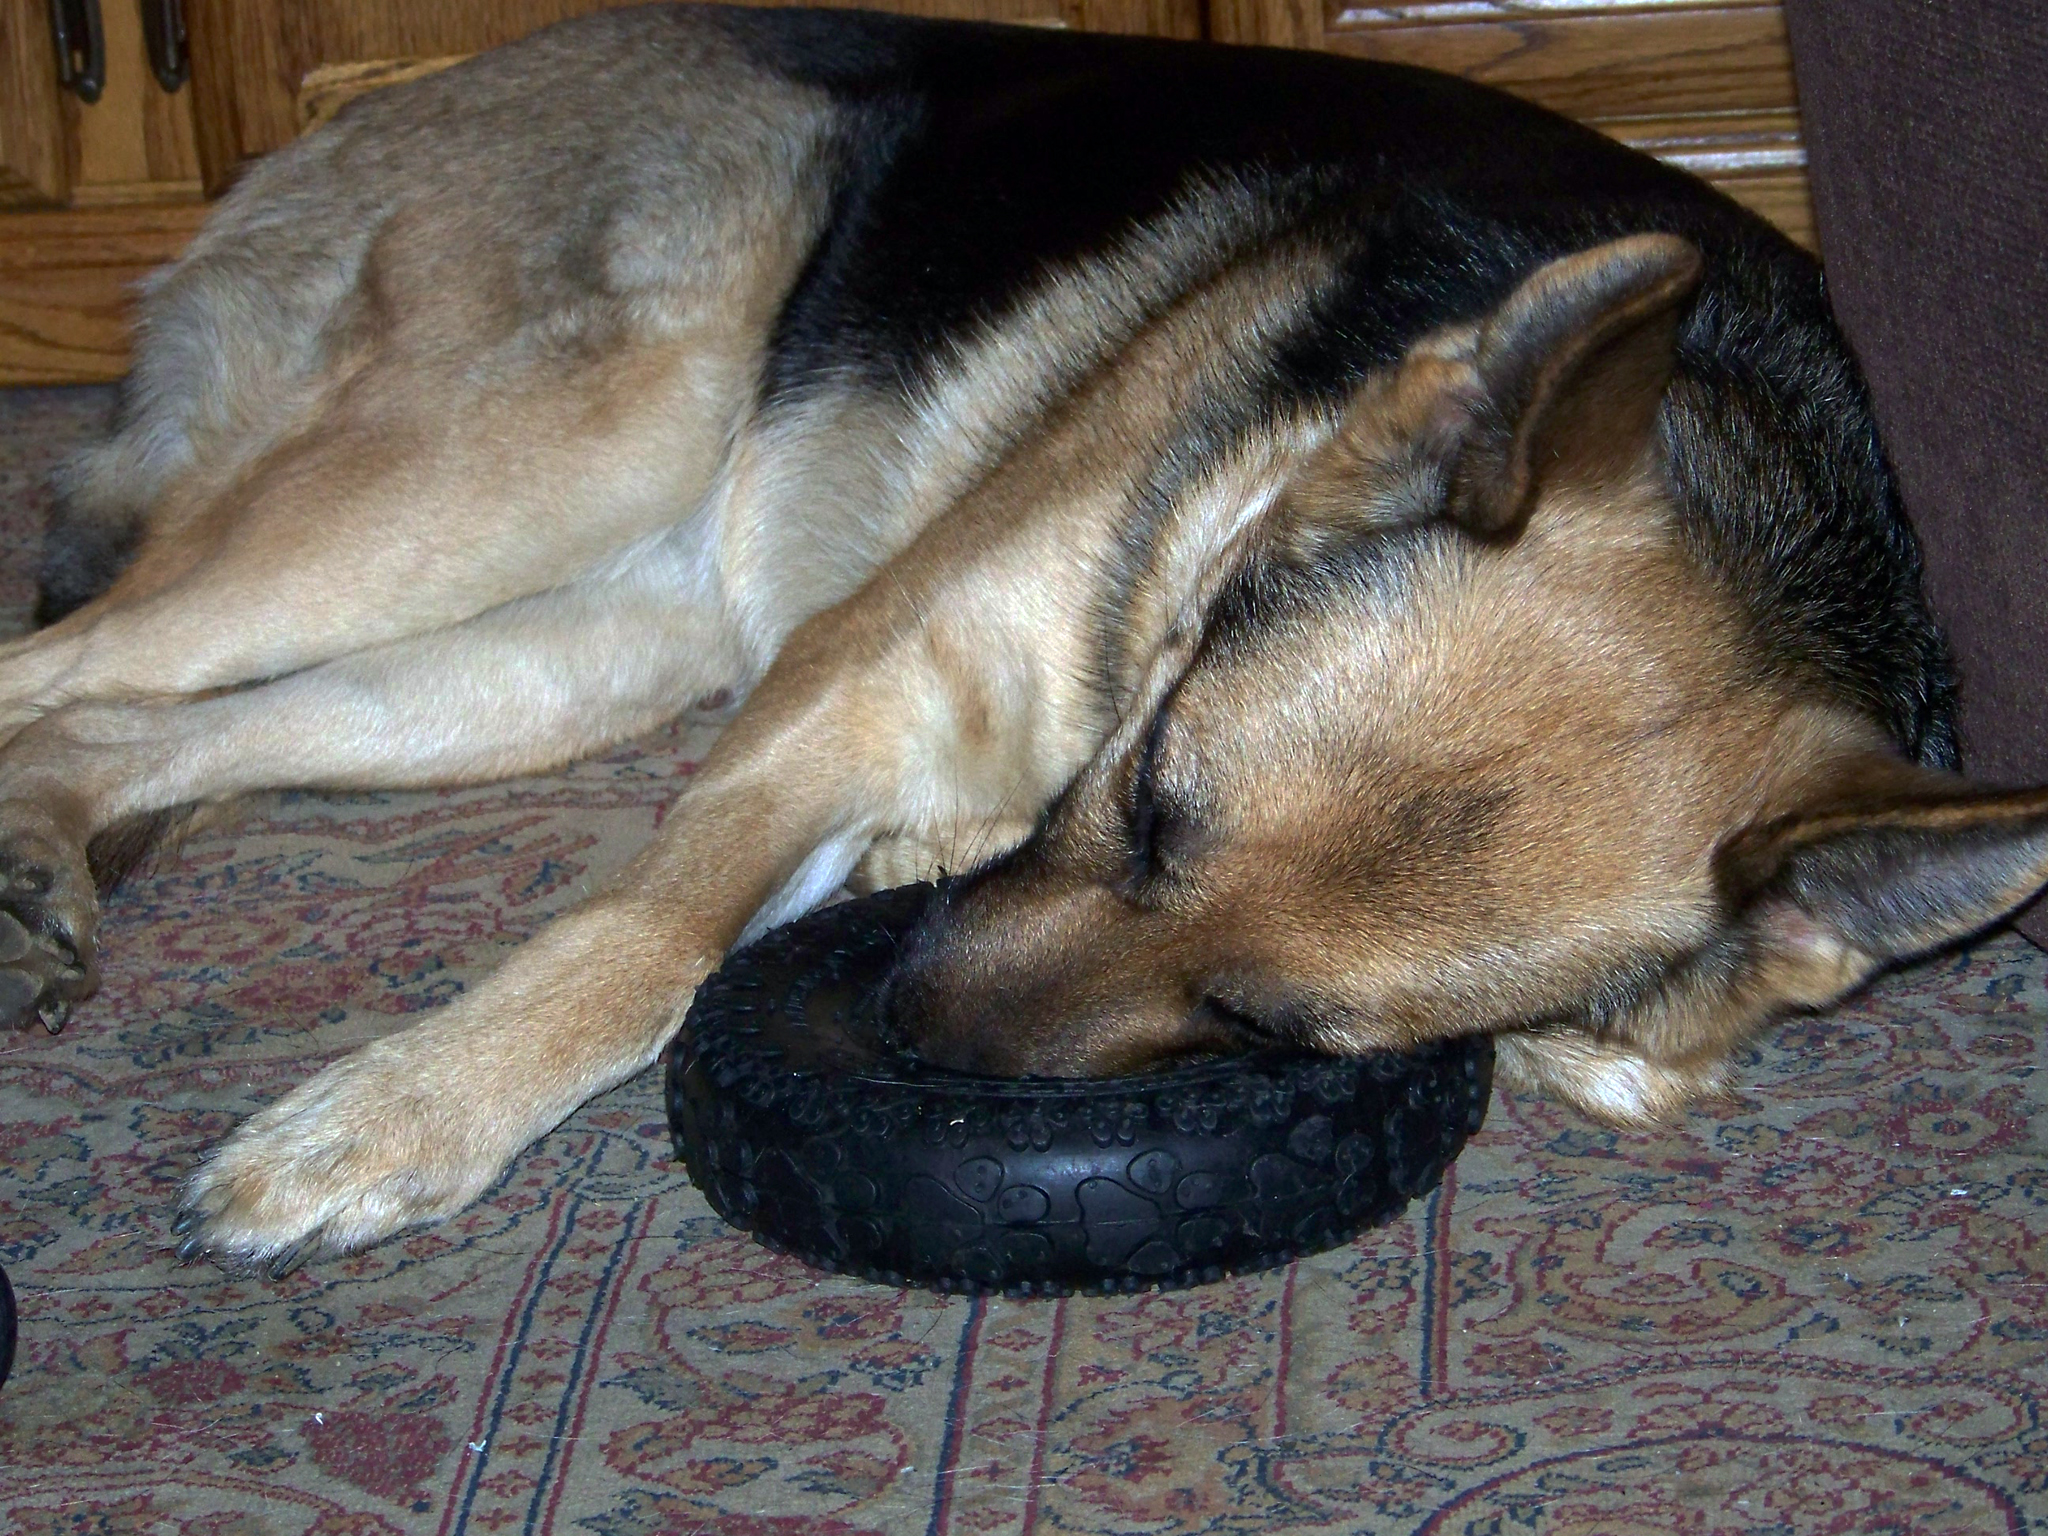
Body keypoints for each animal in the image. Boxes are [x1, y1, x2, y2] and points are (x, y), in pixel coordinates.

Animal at [4, 3, 2048, 1277]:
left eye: (1266, 1029)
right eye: (1142, 797)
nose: (899, 1023)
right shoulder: (853, 676)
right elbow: (640, 934)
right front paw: (391, 1120)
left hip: (582, 635)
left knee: (115, 725)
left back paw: (47, 862)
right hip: (533, 460)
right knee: (66, 664)